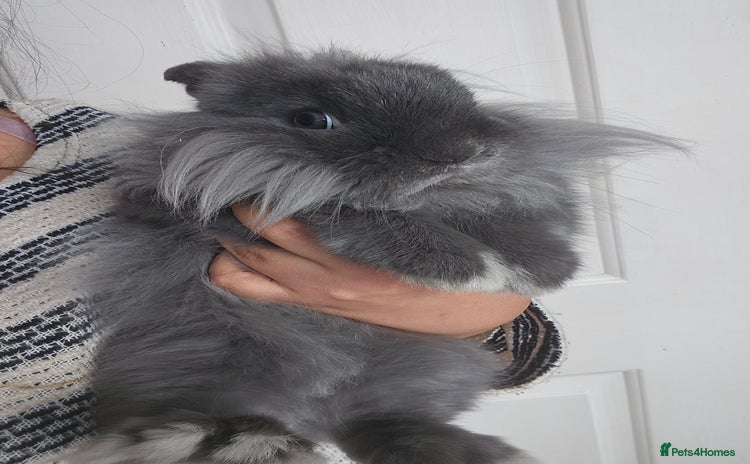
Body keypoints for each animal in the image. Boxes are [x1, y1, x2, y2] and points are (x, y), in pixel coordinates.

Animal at [69, 49, 677, 464]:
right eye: (312, 120)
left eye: (464, 98)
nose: (459, 153)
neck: (432, 199)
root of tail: (318, 410)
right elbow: (373, 223)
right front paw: (474, 268)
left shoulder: (513, 199)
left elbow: (512, 221)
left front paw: (545, 267)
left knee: (386, 427)